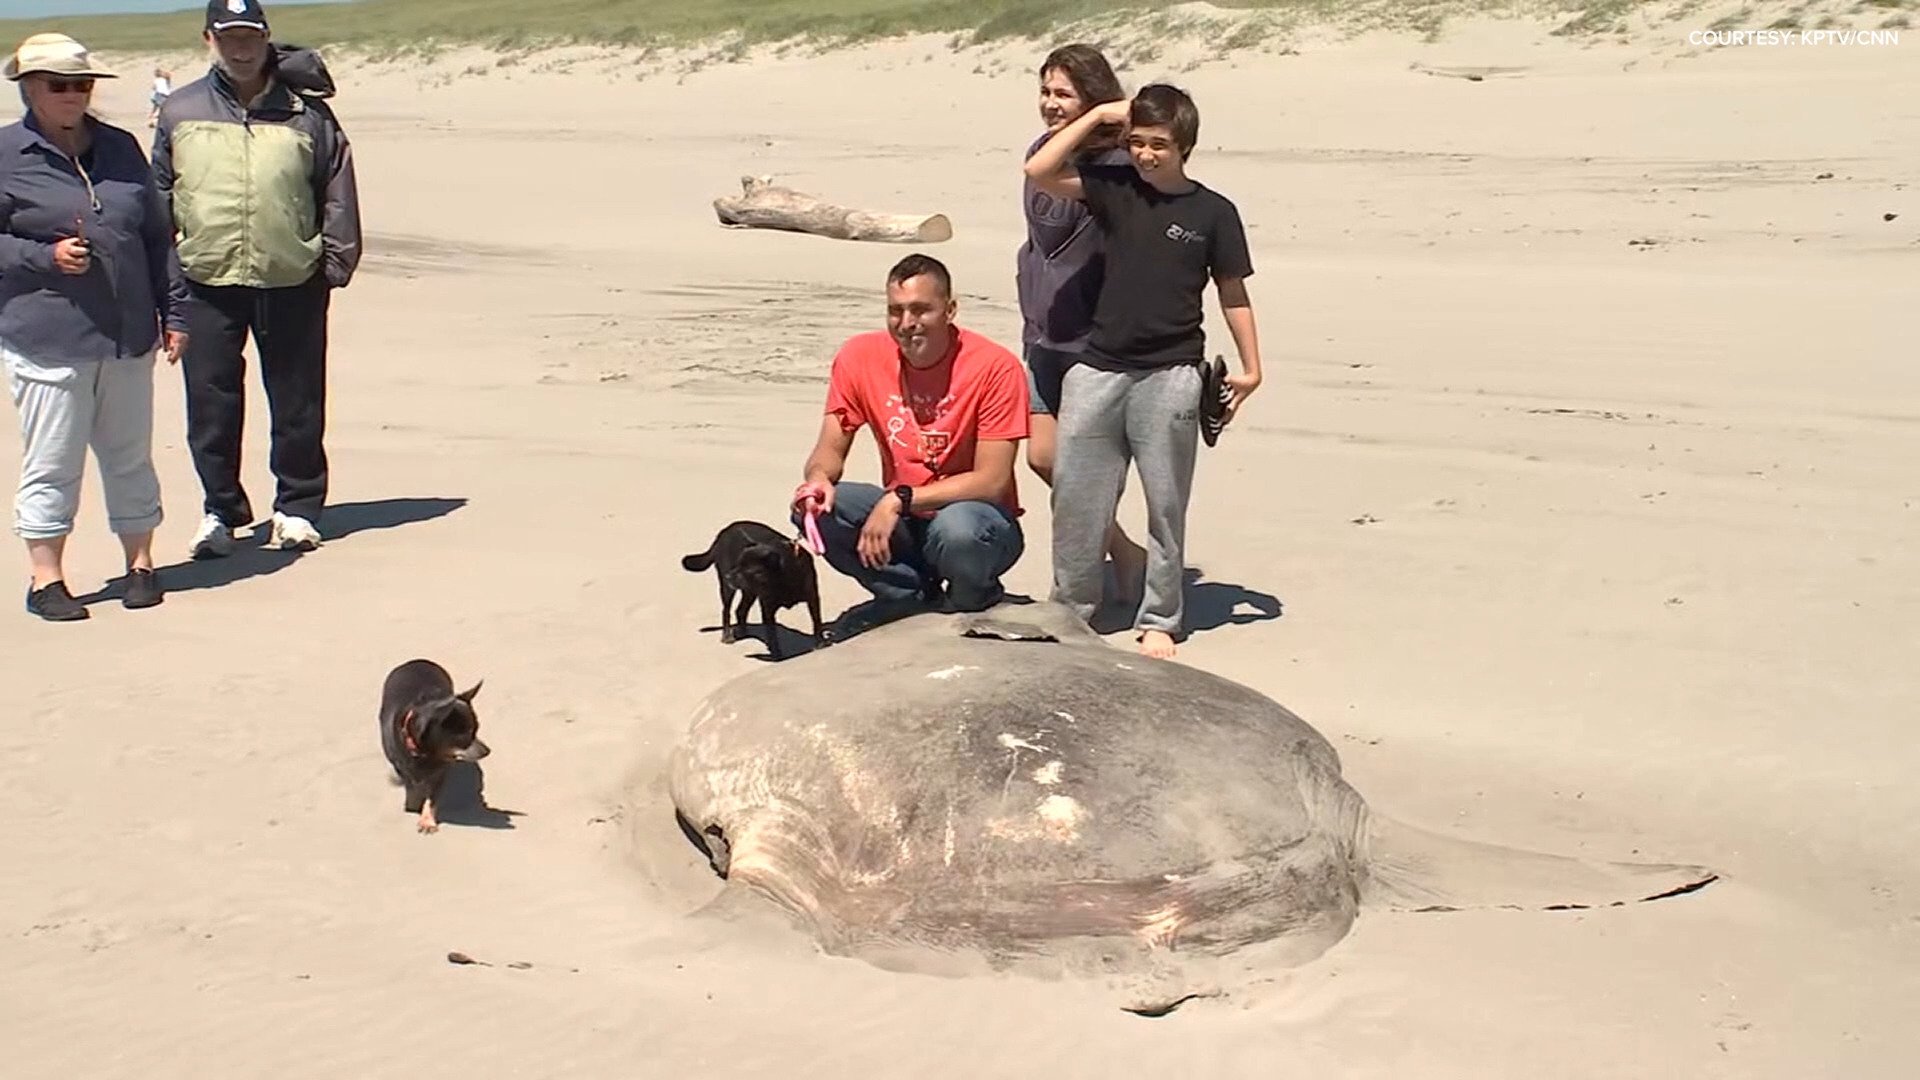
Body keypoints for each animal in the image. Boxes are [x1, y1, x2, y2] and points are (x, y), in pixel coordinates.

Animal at [378, 657, 487, 834]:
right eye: (465, 735)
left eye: (476, 730)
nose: (487, 751)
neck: (426, 753)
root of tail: (417, 661)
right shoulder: (402, 767)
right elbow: (412, 786)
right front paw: (413, 803)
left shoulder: (439, 773)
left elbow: (432, 797)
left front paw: (427, 820)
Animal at [679, 518, 821, 661]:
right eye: (738, 564)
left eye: (747, 568)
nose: (728, 576)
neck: (782, 579)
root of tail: (723, 532)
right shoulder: (767, 607)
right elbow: (771, 634)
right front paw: (776, 655)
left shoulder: (813, 598)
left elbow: (816, 620)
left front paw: (820, 643)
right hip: (729, 589)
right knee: (726, 610)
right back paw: (727, 635)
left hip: (750, 591)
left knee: (740, 610)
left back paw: (742, 631)